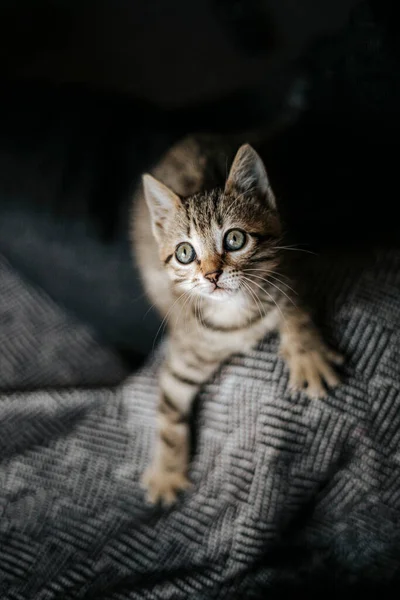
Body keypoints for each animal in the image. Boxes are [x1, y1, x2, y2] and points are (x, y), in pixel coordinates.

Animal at [133, 138, 342, 504]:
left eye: (234, 239)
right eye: (185, 253)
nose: (211, 275)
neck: (235, 316)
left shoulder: (287, 268)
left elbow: (294, 310)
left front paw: (308, 356)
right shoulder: (182, 357)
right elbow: (169, 412)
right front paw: (166, 474)